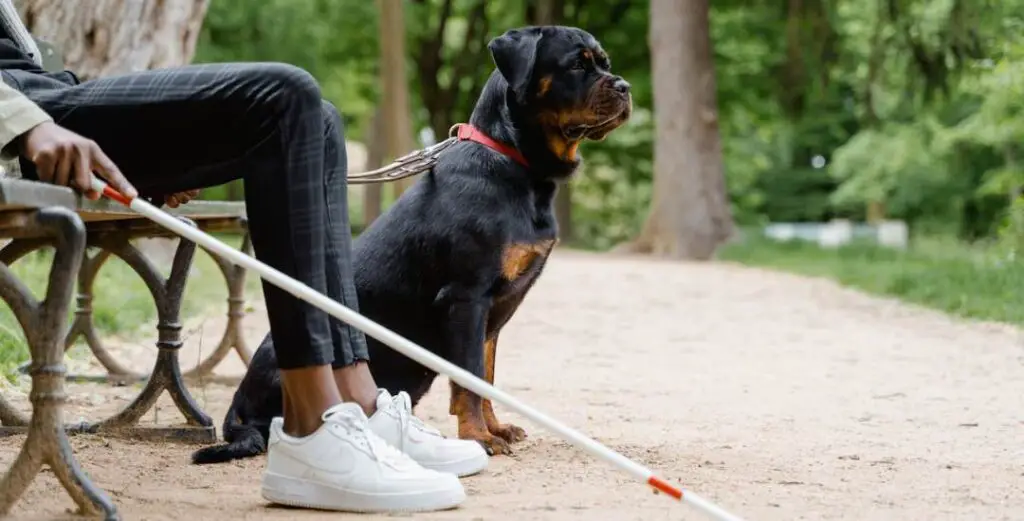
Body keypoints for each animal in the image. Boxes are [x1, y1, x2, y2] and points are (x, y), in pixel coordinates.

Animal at [188, 24, 626, 462]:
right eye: (576, 65)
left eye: (604, 62)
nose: (623, 86)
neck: (514, 163)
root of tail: (237, 408)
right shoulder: (466, 297)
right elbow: (469, 378)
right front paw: (479, 436)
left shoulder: (491, 312)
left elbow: (485, 374)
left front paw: (495, 427)